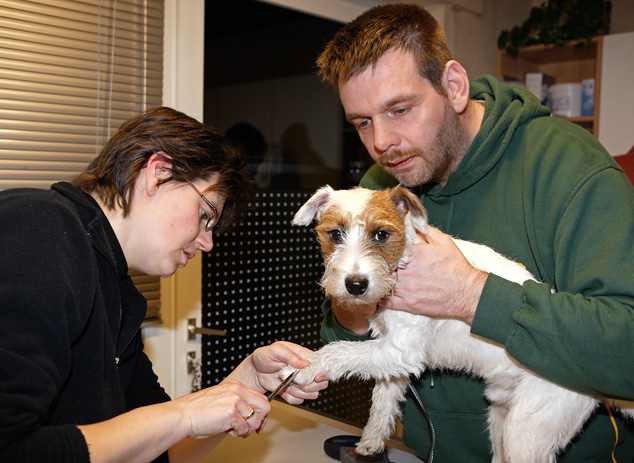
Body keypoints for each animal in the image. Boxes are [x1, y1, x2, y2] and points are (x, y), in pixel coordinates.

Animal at [284, 186, 632, 463]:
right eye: (335, 234)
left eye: (381, 234)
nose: (356, 285)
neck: (404, 261)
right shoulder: (392, 355)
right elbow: (383, 398)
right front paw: (372, 439)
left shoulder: (401, 349)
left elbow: (338, 351)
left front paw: (305, 367)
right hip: (502, 421)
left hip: (527, 432)